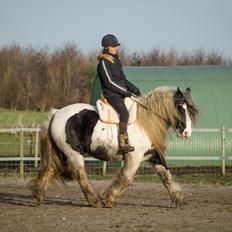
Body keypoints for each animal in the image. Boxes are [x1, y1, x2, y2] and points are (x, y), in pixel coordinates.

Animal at [30, 85, 198, 208]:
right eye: (180, 107)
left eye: (189, 110)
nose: (187, 133)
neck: (145, 122)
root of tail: (57, 112)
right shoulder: (134, 157)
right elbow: (127, 178)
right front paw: (109, 198)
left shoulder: (152, 155)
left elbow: (166, 176)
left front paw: (179, 199)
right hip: (73, 153)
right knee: (80, 175)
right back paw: (95, 201)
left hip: (61, 153)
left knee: (49, 170)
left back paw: (38, 196)